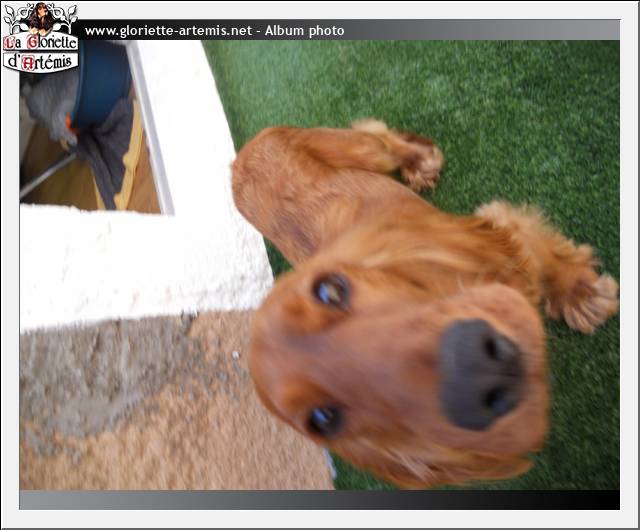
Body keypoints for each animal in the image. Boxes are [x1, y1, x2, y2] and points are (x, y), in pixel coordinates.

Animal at [231, 120, 619, 488]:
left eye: (330, 290)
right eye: (324, 419)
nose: (477, 369)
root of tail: (237, 160)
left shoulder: (497, 236)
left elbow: (546, 259)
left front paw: (580, 293)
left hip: (365, 150)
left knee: (380, 134)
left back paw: (419, 162)